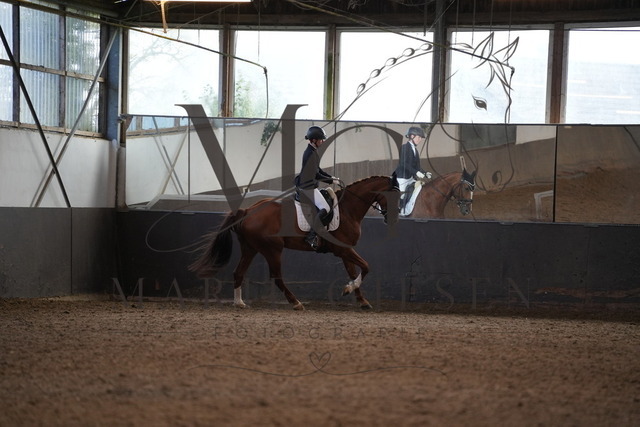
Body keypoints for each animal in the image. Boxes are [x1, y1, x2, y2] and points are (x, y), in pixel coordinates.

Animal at [189, 175, 399, 310]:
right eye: (394, 195)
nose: (393, 219)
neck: (348, 209)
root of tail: (248, 211)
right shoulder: (343, 250)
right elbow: (366, 267)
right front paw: (349, 289)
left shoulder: (345, 250)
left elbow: (354, 272)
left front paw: (360, 299)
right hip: (273, 249)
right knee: (277, 277)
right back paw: (296, 303)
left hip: (250, 248)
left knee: (238, 272)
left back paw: (239, 303)